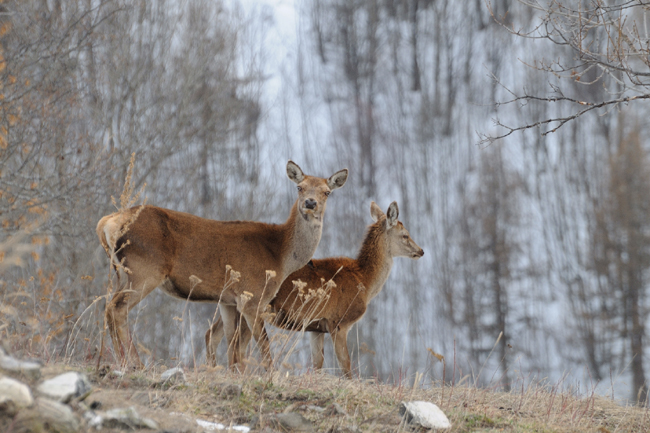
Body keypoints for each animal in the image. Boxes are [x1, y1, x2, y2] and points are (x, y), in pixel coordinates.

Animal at [97, 160, 346, 370]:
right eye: (300, 187)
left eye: (327, 192)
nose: (310, 203)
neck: (280, 255)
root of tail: (107, 222)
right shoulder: (252, 296)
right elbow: (261, 346)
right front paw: (270, 377)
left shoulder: (228, 300)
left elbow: (231, 345)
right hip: (145, 269)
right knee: (117, 309)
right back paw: (135, 364)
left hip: (123, 272)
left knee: (109, 307)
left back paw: (121, 361)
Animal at [205, 201, 422, 376]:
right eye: (405, 235)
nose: (421, 251)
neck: (365, 282)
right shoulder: (339, 322)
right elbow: (346, 366)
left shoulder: (316, 327)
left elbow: (318, 365)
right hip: (255, 305)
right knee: (236, 344)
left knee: (213, 334)